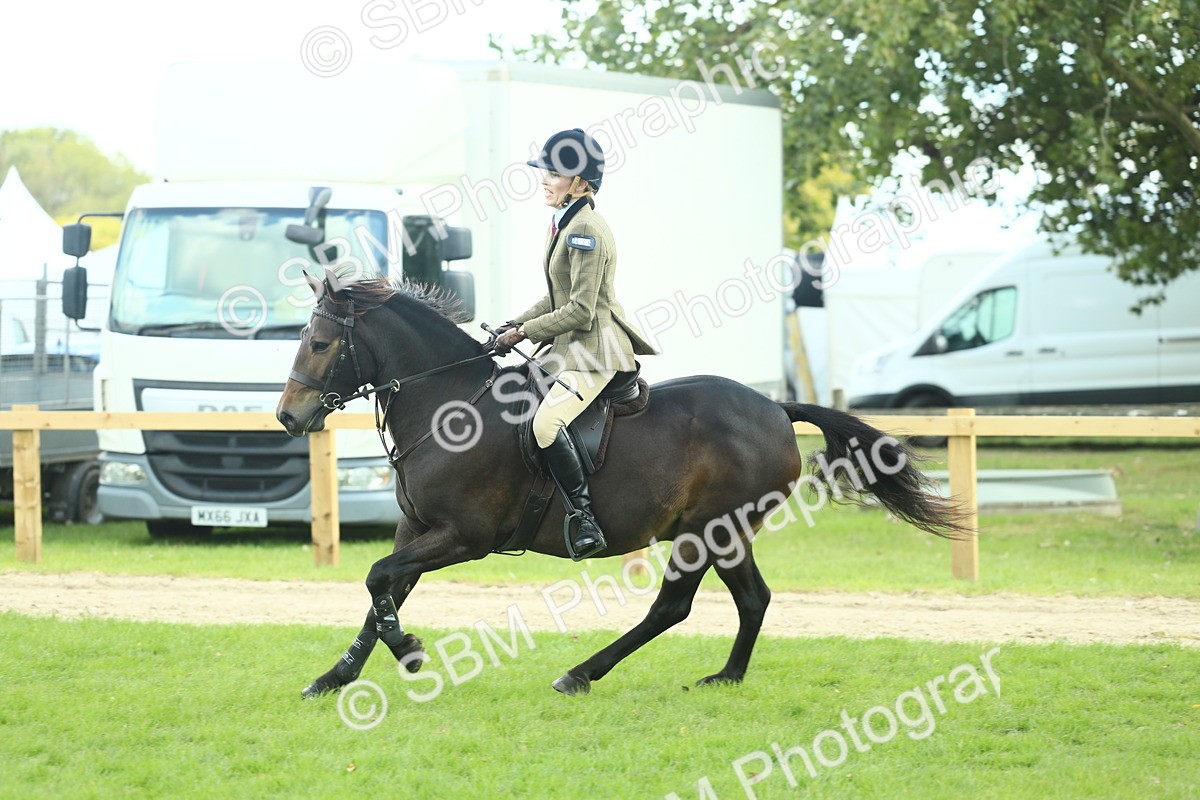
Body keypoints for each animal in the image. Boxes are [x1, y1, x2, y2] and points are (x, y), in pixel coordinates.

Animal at [276, 272, 967, 699]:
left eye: (321, 343)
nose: (287, 416)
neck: (449, 406)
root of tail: (776, 408)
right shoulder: (417, 528)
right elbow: (383, 591)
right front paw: (334, 678)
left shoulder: (463, 537)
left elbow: (378, 582)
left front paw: (412, 651)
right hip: (726, 533)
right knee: (752, 599)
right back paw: (726, 677)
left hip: (705, 532)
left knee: (674, 605)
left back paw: (580, 674)